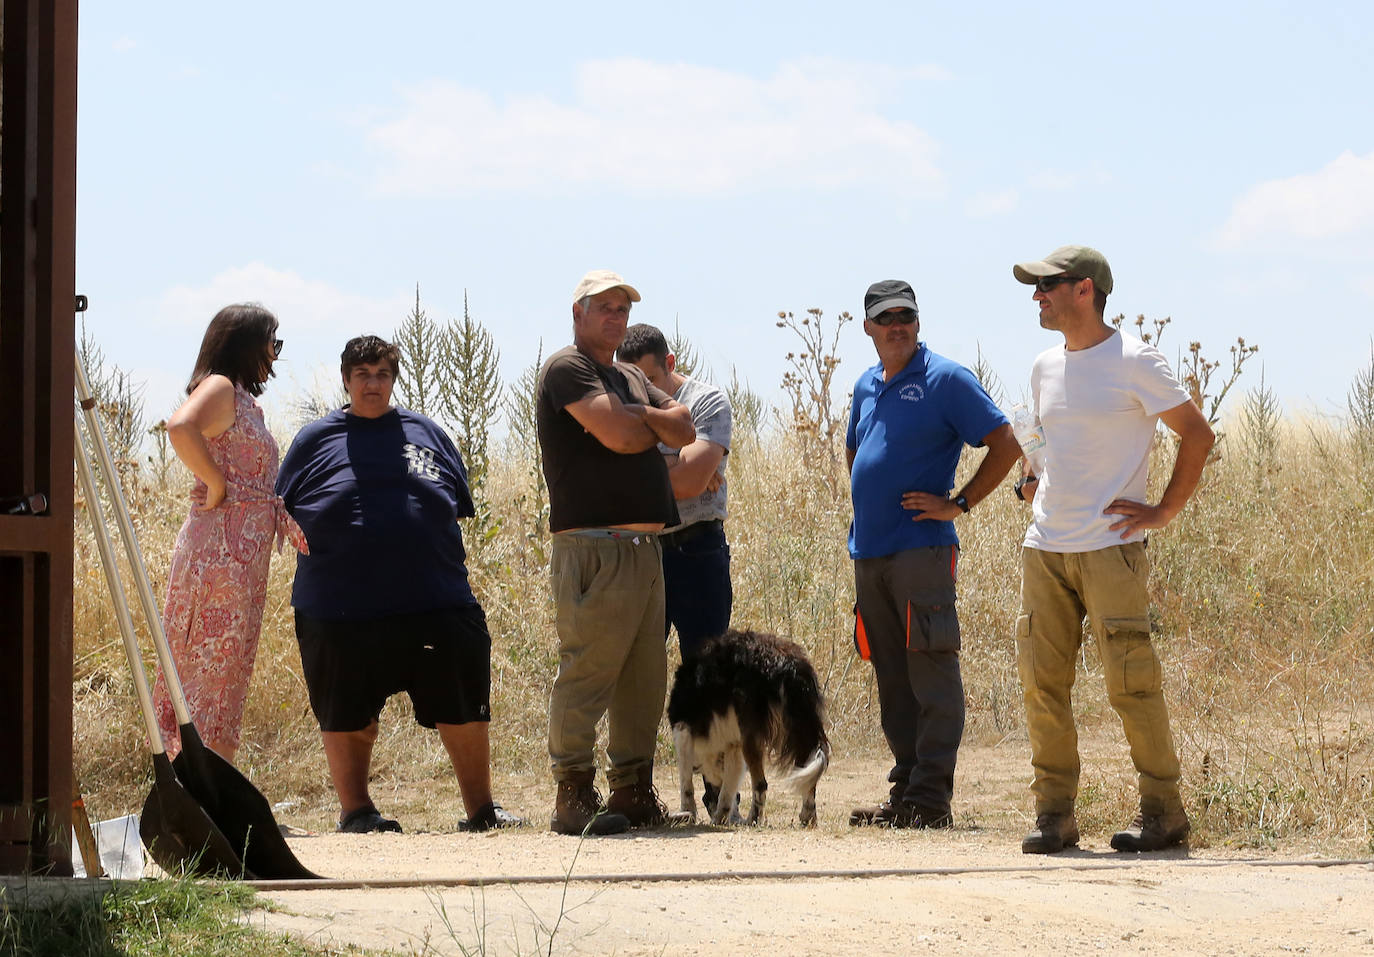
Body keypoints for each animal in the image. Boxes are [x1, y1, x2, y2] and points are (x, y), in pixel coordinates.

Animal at [665, 626, 824, 823]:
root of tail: (787, 665)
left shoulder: (683, 730)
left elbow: (686, 782)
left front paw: (689, 812)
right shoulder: (733, 744)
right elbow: (728, 790)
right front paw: (723, 816)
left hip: (752, 736)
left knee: (761, 784)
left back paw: (753, 819)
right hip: (801, 728)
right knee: (808, 778)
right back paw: (808, 816)